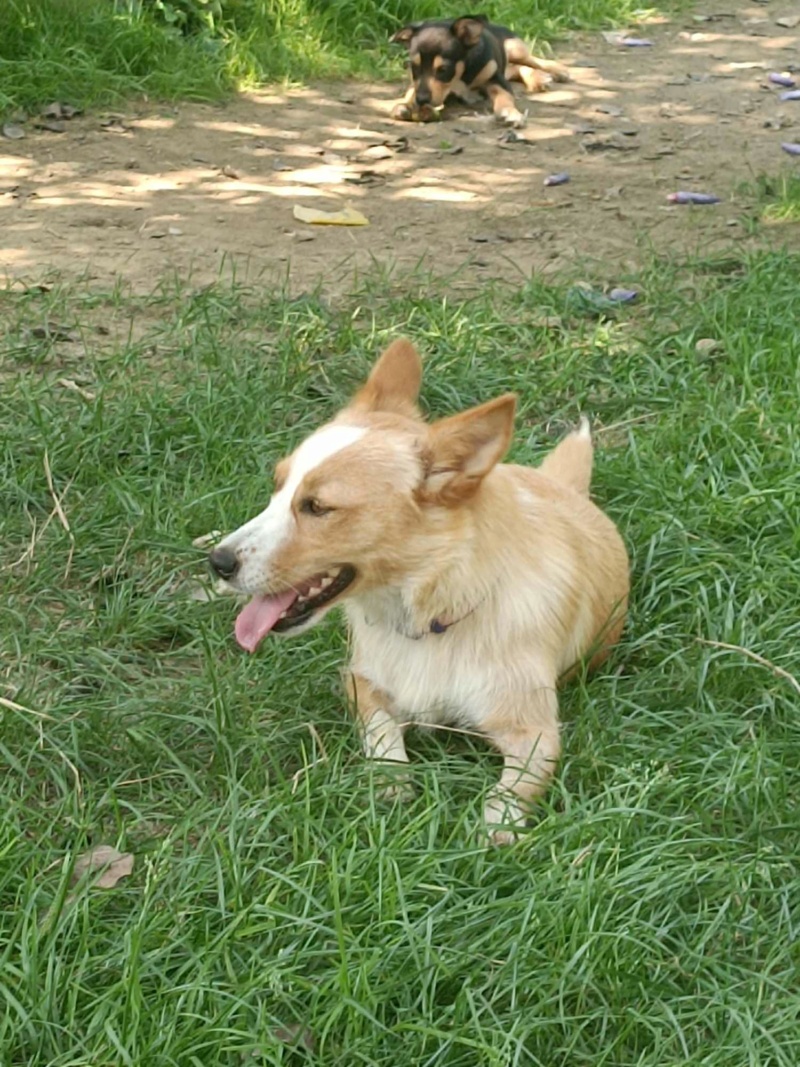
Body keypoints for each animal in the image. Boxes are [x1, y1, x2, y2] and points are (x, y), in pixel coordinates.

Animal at [210, 339, 631, 840]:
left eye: (316, 507)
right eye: (277, 487)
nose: (217, 562)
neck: (433, 616)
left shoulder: (537, 734)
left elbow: (505, 795)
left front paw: (494, 832)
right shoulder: (361, 683)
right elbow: (383, 740)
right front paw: (392, 788)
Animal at [390, 15, 571, 128]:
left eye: (443, 69)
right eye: (413, 67)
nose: (421, 100)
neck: (462, 72)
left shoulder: (496, 78)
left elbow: (505, 96)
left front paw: (510, 113)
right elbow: (411, 91)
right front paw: (407, 106)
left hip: (514, 47)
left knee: (531, 60)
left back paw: (557, 70)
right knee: (516, 67)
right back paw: (537, 79)